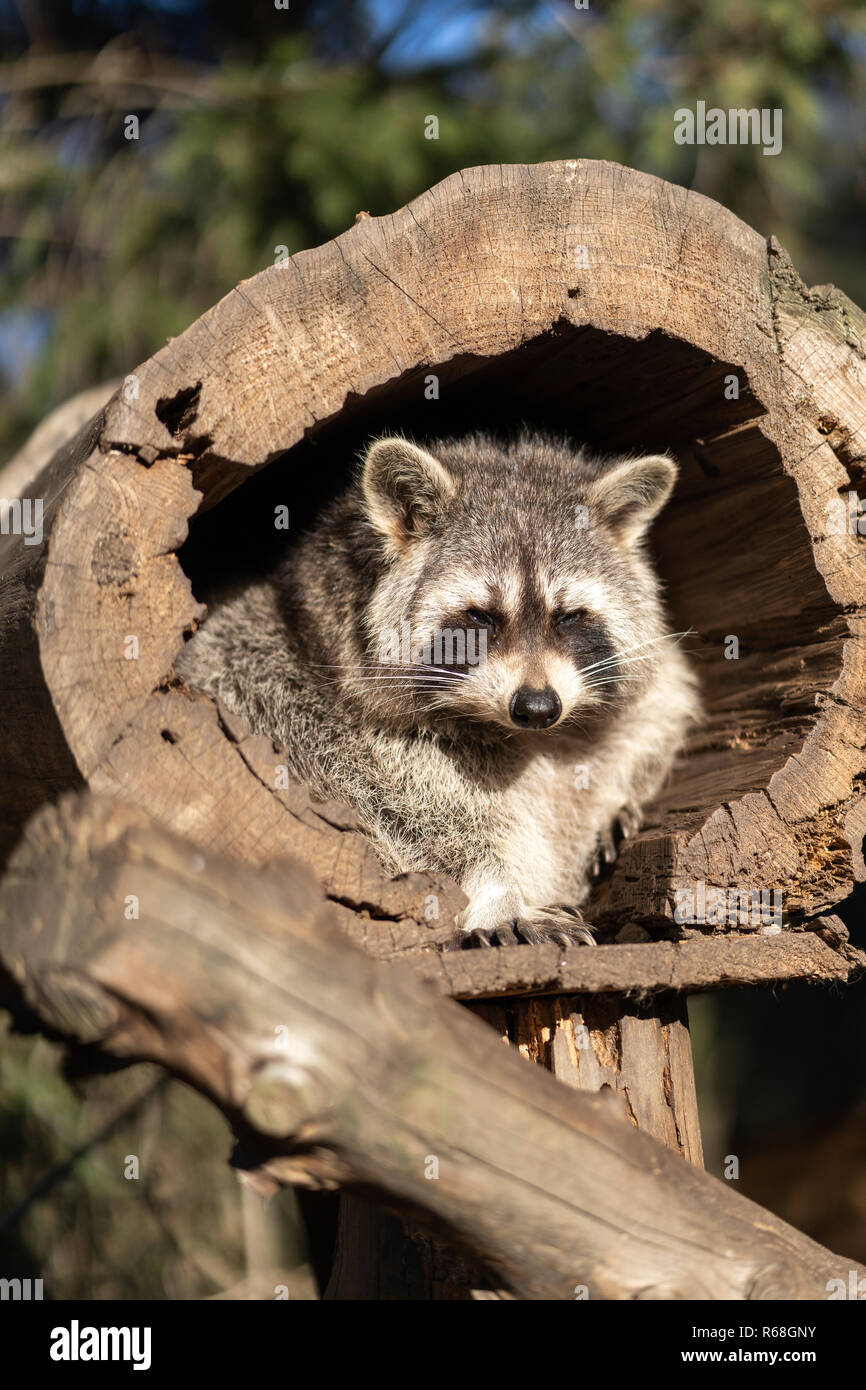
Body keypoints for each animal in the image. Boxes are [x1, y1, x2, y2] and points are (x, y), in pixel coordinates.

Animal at [175, 430, 700, 949]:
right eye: (480, 616)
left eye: (568, 616)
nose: (536, 707)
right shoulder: (296, 703)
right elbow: (408, 823)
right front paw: (497, 891)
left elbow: (656, 708)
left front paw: (616, 797)